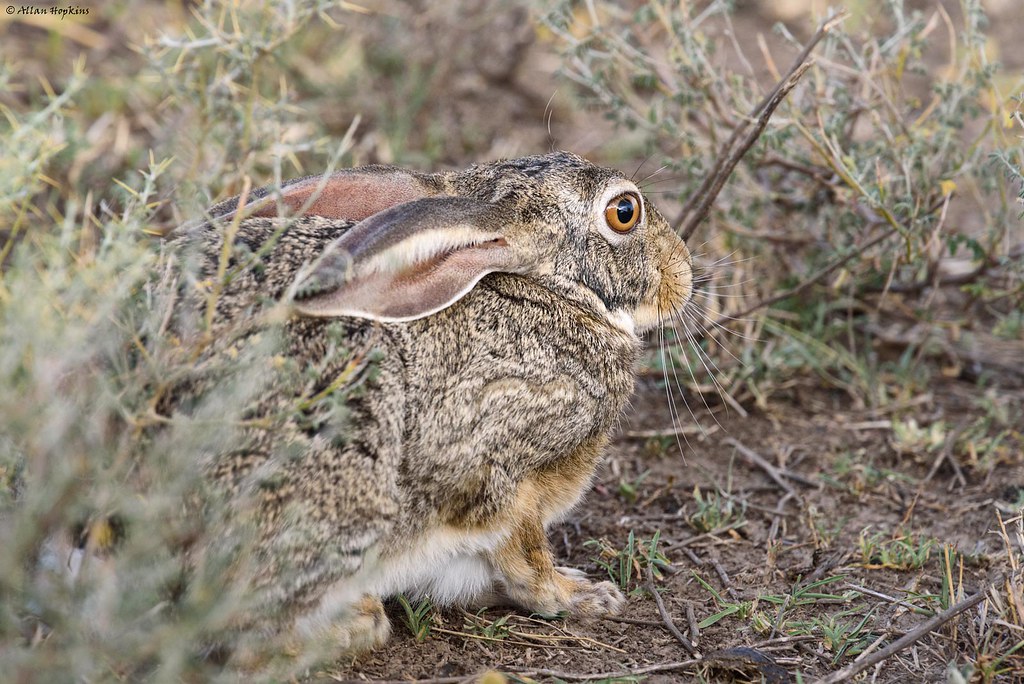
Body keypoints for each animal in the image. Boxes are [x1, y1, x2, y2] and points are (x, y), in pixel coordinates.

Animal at [167, 150, 694, 666]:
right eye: (624, 211)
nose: (684, 270)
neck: (546, 293)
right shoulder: (501, 470)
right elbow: (527, 560)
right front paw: (583, 596)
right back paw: (355, 621)